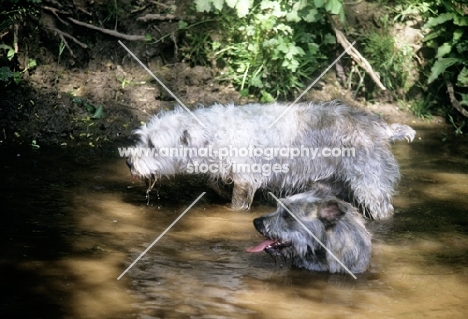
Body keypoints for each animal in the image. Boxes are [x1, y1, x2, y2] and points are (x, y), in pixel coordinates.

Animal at [126, 102, 414, 220]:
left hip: (371, 184)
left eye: (153, 145)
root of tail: (381, 127)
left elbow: (238, 201)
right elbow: (216, 182)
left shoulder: (246, 179)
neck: (215, 135)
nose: (129, 162)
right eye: (143, 139)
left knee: (383, 208)